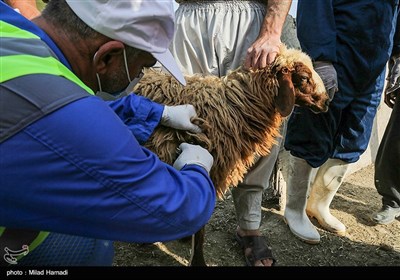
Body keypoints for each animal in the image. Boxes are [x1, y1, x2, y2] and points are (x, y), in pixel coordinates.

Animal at [133, 43, 330, 264]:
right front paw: (198, 261)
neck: (234, 108)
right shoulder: (209, 169)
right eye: (304, 78)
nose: (327, 102)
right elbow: (200, 228)